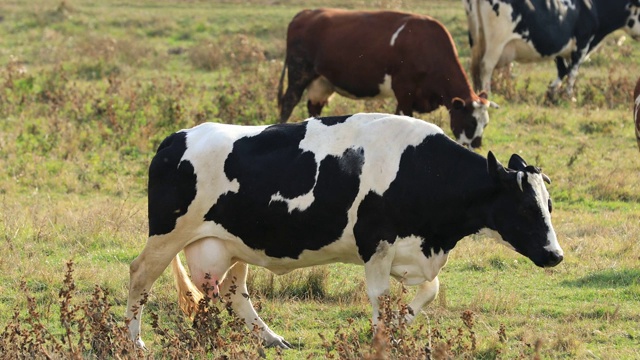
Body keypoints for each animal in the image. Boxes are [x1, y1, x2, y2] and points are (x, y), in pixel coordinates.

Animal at [126, 113, 564, 348]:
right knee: (140, 277)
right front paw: (383, 338)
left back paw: (271, 339)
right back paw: (135, 341)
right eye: (526, 207)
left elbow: (429, 291)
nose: (556, 255)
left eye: (549, 205)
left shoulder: (413, 252)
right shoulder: (376, 245)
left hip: (233, 245)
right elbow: (379, 297)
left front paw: (399, 327)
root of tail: (176, 138)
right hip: (168, 236)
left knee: (234, 293)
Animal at [276, 8, 496, 149]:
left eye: (485, 124)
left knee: (314, 108)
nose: (477, 147)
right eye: (470, 123)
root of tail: (306, 13)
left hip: (321, 82)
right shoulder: (404, 90)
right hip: (299, 72)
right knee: (288, 103)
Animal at [462, 0, 640, 97]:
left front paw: (552, 92)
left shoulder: (559, 45)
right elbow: (572, 72)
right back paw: (487, 94)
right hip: (496, 42)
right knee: (486, 66)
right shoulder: (582, 43)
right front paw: (569, 97)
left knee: (475, 67)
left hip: (477, 39)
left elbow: (562, 69)